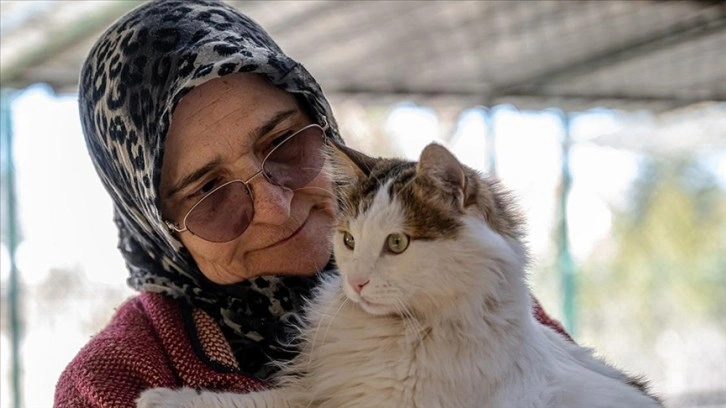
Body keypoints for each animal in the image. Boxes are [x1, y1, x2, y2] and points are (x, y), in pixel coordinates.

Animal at [138, 143, 664, 408]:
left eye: (397, 244)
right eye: (349, 240)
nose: (357, 284)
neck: (407, 332)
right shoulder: (331, 391)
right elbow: (260, 401)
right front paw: (164, 398)